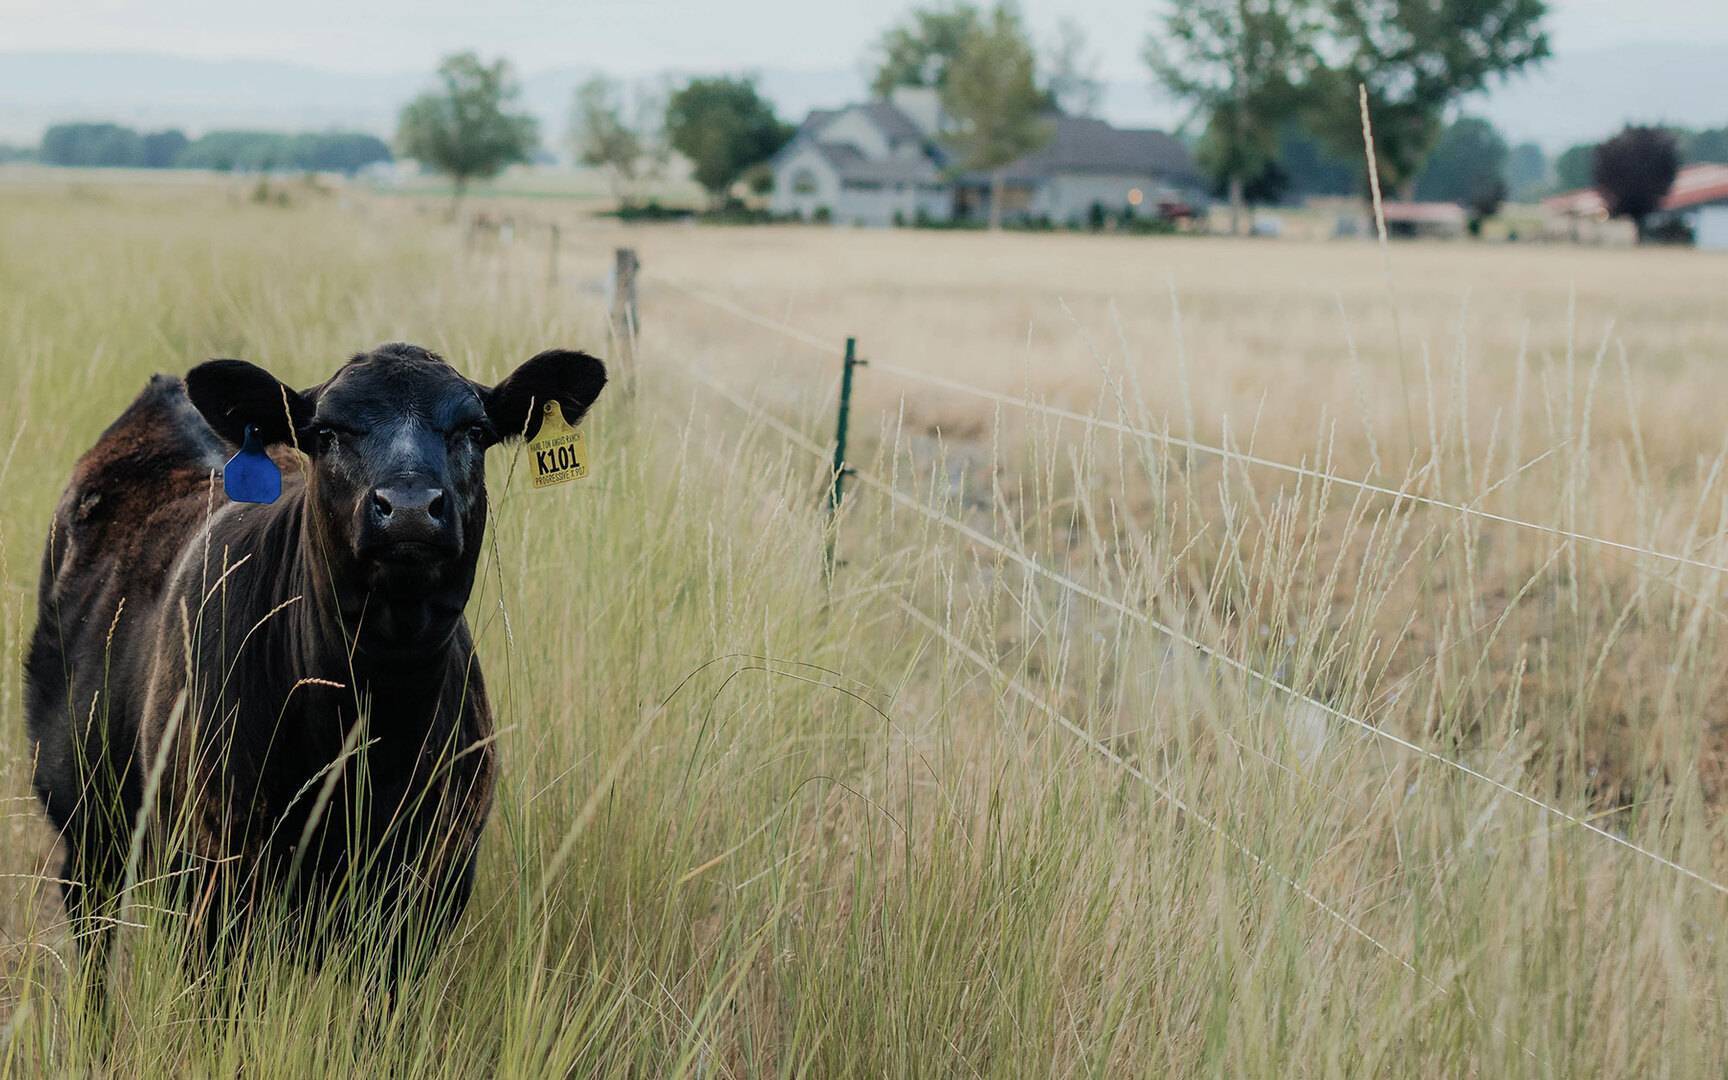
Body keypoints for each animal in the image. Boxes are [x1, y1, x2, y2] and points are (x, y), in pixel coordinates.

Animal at [24, 342, 605, 977]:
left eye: (474, 431)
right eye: (326, 432)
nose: (407, 508)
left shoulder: (429, 898)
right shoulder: (217, 888)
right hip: (86, 831)